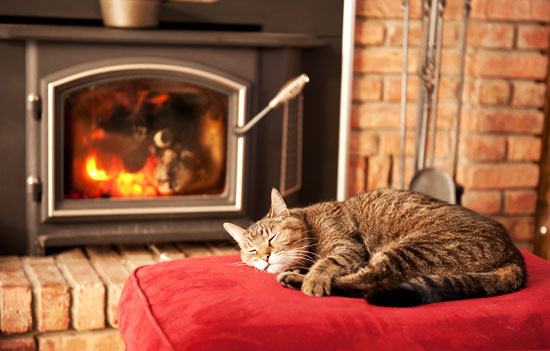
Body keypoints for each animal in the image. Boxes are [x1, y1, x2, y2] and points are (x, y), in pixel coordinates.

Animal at [224, 188, 532, 306]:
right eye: (251, 251)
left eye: (272, 238)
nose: (265, 257)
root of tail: (515, 253)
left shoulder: (348, 248)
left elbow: (328, 264)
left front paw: (312, 278)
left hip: (409, 250)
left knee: (367, 283)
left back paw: (297, 280)